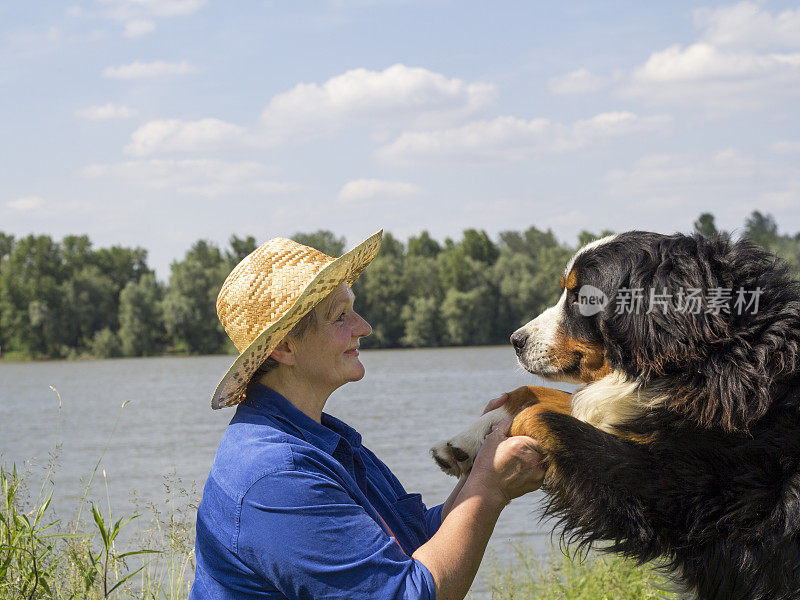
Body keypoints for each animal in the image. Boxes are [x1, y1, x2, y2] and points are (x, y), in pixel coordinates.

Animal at [434, 231, 800, 600]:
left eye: (582, 297)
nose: (515, 340)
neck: (711, 358)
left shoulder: (669, 487)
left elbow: (540, 415)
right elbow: (533, 393)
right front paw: (465, 443)